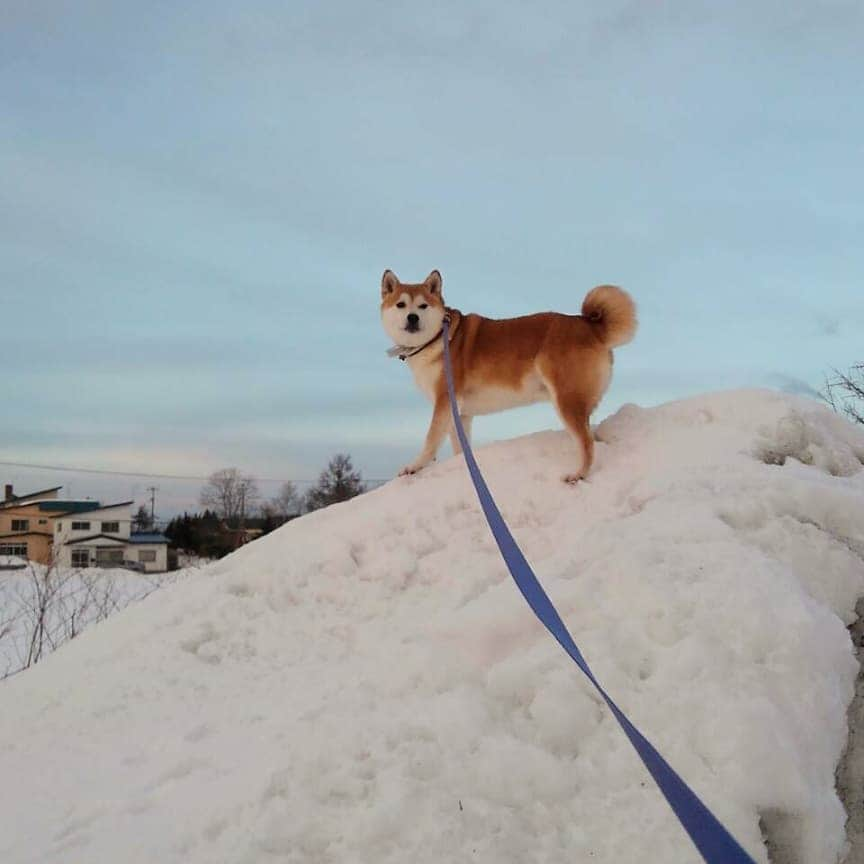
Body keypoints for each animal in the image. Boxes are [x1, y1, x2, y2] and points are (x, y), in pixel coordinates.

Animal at [382, 270, 636, 482]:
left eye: (423, 306)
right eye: (401, 305)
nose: (412, 317)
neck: (436, 340)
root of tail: (590, 325)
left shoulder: (444, 401)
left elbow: (430, 440)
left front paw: (414, 467)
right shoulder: (460, 413)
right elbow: (460, 447)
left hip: (566, 399)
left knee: (586, 443)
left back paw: (578, 474)